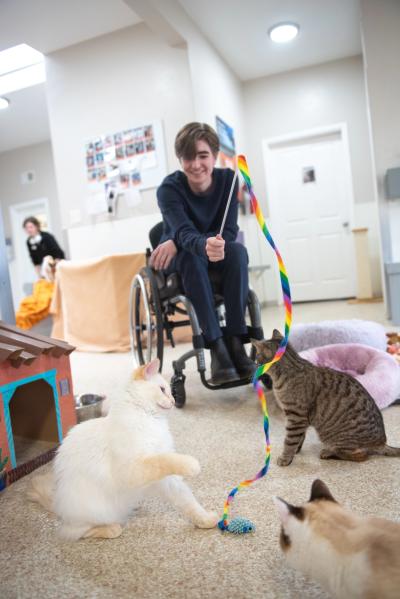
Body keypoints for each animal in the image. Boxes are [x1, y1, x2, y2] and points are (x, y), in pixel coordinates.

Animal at [28, 358, 217, 540]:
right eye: (163, 389)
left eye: (170, 391)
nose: (173, 401)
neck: (149, 419)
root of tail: (59, 506)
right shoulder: (135, 468)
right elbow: (166, 461)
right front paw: (193, 466)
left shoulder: (166, 479)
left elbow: (188, 502)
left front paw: (206, 520)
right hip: (94, 511)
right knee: (76, 532)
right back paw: (111, 528)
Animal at [253, 330, 400, 466]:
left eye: (257, 359)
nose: (255, 366)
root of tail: (382, 441)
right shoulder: (300, 419)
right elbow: (300, 438)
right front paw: (296, 451)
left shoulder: (296, 417)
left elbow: (290, 441)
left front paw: (286, 458)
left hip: (335, 437)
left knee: (361, 456)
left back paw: (328, 453)